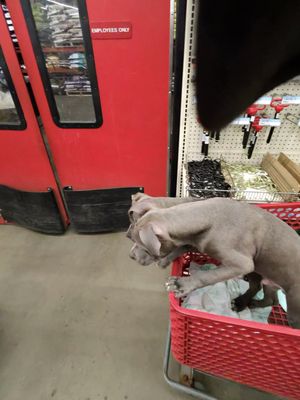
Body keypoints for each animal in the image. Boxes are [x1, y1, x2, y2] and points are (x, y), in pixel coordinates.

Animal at [128, 196, 300, 328]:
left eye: (142, 246)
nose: (131, 256)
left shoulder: (242, 263)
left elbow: (208, 275)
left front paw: (181, 284)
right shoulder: (193, 242)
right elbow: (181, 247)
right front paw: (165, 260)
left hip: (290, 300)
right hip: (263, 272)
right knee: (267, 296)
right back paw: (244, 303)